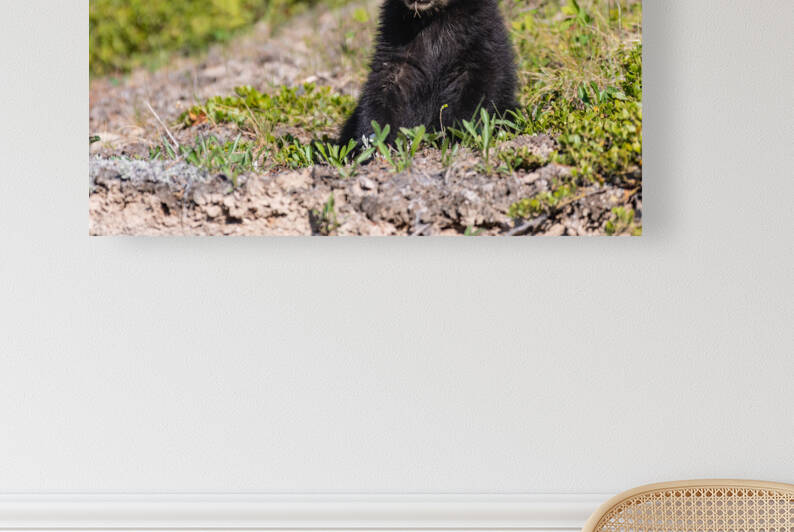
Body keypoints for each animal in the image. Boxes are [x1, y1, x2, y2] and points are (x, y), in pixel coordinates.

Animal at [339, 0, 519, 145]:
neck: (433, 17)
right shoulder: (395, 39)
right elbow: (384, 86)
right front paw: (371, 141)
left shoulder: (479, 37)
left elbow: (478, 87)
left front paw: (454, 134)